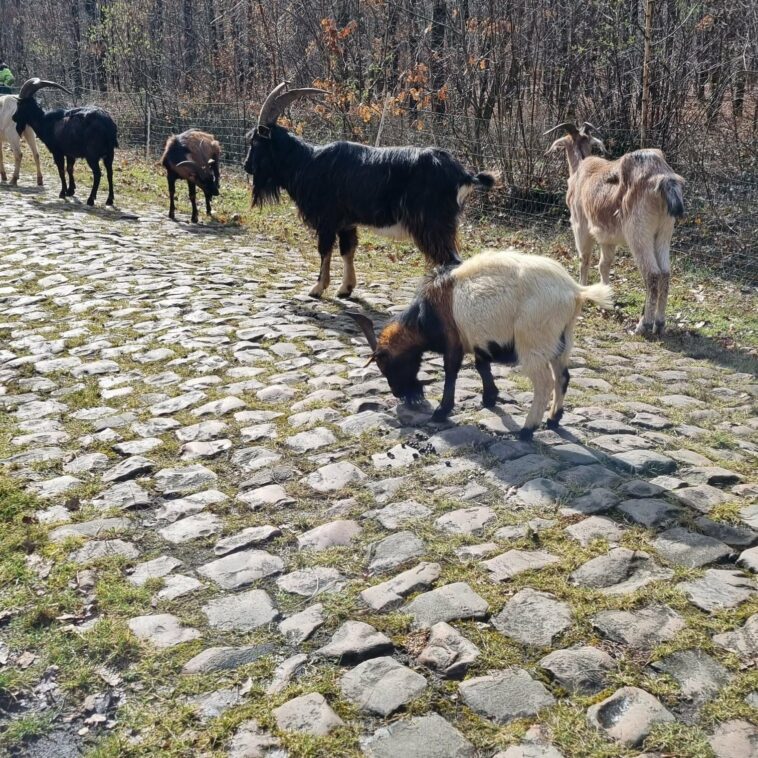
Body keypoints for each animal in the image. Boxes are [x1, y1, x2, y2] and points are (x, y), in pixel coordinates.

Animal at [12, 77, 119, 205]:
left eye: (19, 104)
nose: (13, 117)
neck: (44, 121)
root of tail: (107, 124)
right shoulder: (69, 153)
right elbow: (69, 169)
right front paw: (70, 190)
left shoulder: (57, 152)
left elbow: (61, 170)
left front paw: (62, 193)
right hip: (109, 153)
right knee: (110, 172)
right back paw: (109, 200)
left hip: (92, 154)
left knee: (97, 173)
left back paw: (91, 199)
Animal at [243, 81, 498, 298]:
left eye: (255, 142)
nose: (246, 166)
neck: (306, 163)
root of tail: (463, 174)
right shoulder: (346, 223)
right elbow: (347, 251)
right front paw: (345, 289)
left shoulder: (327, 220)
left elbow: (324, 251)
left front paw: (317, 288)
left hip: (432, 225)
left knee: (451, 261)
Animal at [548, 121, 688, 336]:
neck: (581, 167)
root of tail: (664, 179)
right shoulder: (607, 237)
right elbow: (604, 264)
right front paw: (606, 296)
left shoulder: (580, 226)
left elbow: (584, 259)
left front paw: (583, 290)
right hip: (664, 232)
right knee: (665, 273)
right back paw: (659, 323)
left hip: (638, 233)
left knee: (652, 274)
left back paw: (643, 325)